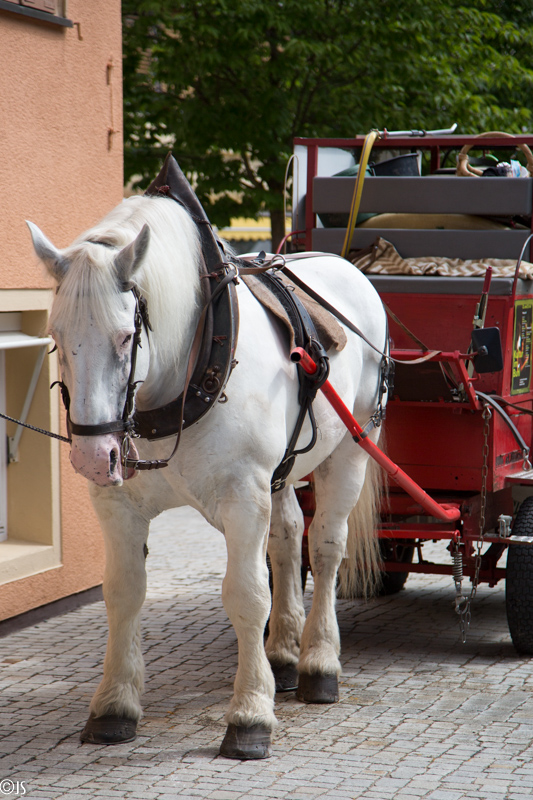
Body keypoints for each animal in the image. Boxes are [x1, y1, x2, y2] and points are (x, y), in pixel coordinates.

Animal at [28, 191, 386, 760]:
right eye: (56, 336)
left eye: (125, 336)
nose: (92, 456)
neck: (180, 377)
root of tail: (347, 263)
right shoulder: (119, 506)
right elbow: (123, 591)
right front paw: (115, 704)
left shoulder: (243, 497)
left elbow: (246, 595)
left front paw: (250, 714)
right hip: (280, 474)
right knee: (288, 539)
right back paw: (282, 655)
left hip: (350, 451)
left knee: (327, 547)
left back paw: (318, 662)